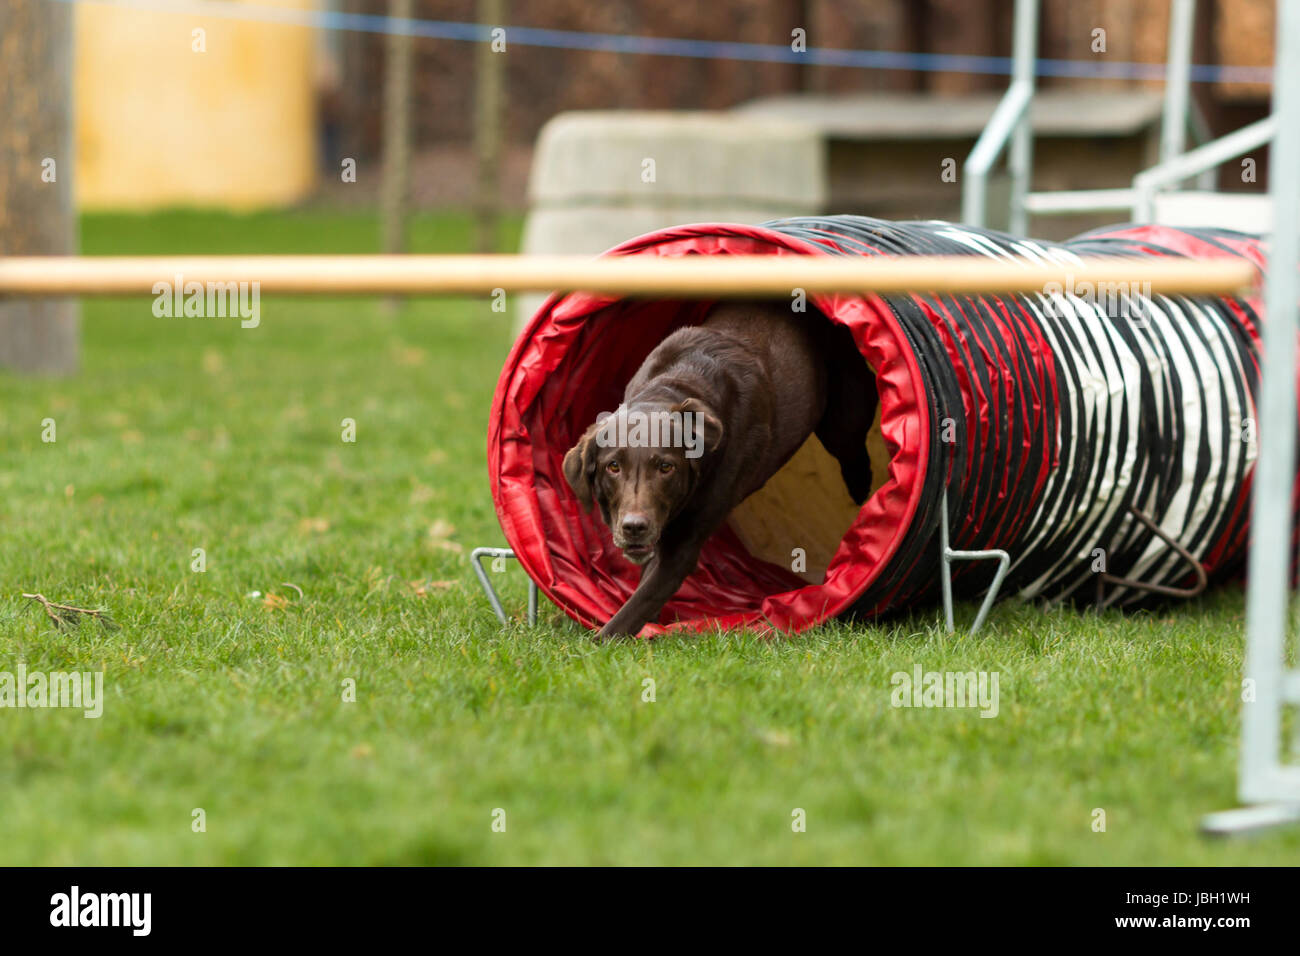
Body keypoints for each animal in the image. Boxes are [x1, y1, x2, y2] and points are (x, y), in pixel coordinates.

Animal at [559, 303, 873, 639]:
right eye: (613, 466)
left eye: (666, 467)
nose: (634, 527)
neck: (681, 384)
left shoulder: (684, 545)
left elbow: (636, 604)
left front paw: (603, 639)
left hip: (842, 420)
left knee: (853, 449)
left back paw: (861, 488)